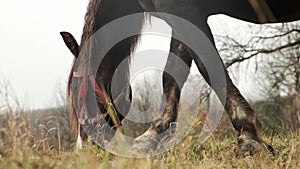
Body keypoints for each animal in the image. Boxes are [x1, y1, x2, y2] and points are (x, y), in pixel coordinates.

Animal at [61, 0, 300, 154]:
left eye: (79, 95)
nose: (83, 149)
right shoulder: (181, 15)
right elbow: (171, 73)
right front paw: (153, 136)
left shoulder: (181, 10)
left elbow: (208, 67)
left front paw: (249, 140)